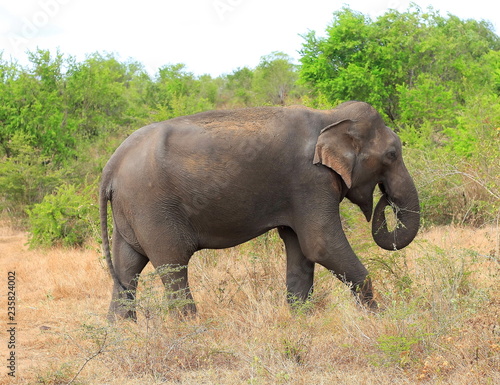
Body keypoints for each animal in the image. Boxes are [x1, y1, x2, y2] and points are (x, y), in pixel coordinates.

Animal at [99, 100, 420, 318]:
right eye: (392, 154)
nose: (384, 198)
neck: (329, 116)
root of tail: (111, 165)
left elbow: (301, 250)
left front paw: (300, 319)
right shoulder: (310, 180)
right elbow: (321, 244)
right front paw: (380, 318)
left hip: (130, 212)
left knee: (127, 267)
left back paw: (122, 332)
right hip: (153, 207)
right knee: (173, 265)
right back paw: (189, 329)